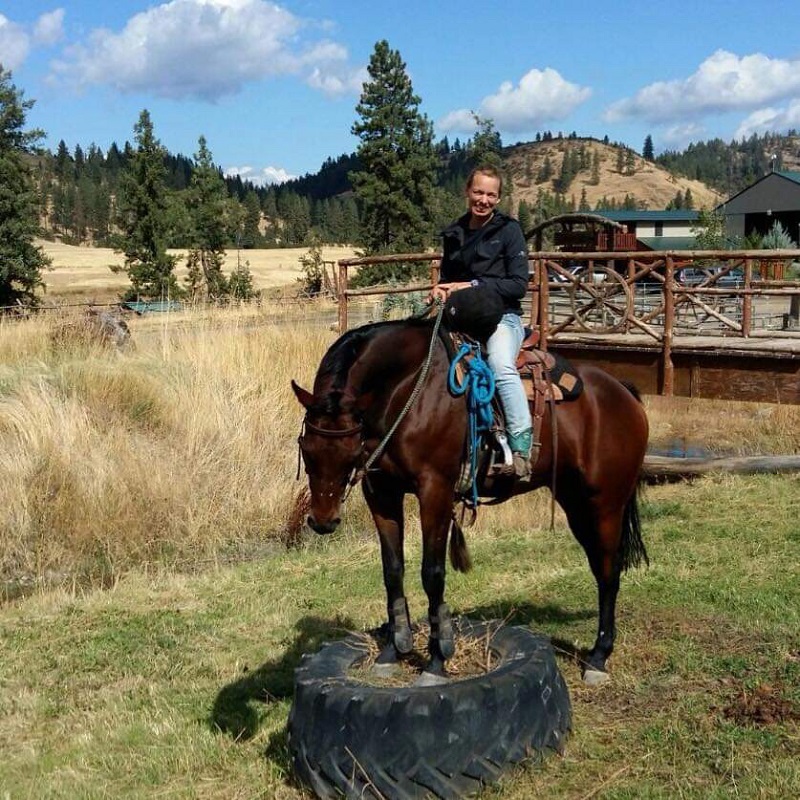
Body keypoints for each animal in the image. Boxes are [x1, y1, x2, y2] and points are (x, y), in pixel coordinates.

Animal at [291, 315, 649, 685]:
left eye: (350, 451)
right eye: (306, 448)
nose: (323, 521)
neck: (405, 391)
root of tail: (624, 392)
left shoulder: (435, 490)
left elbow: (432, 573)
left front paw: (436, 661)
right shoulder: (381, 491)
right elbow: (392, 571)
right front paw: (393, 651)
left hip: (606, 504)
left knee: (608, 570)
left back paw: (598, 658)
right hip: (575, 501)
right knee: (599, 565)